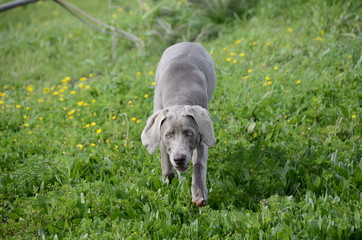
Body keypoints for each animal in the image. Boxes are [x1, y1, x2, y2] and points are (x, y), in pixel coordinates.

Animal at [141, 41, 215, 206]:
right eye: (168, 135)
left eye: (189, 133)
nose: (179, 159)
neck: (179, 95)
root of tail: (186, 42)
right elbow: (165, 159)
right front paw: (169, 181)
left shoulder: (202, 135)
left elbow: (199, 164)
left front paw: (199, 194)